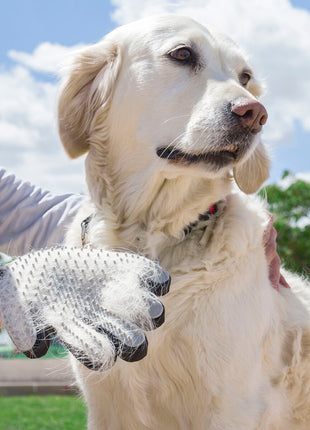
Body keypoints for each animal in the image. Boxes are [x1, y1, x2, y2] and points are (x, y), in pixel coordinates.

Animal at [57, 14, 310, 430]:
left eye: (245, 77)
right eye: (182, 54)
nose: (255, 114)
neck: (150, 235)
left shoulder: (231, 405)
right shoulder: (107, 405)